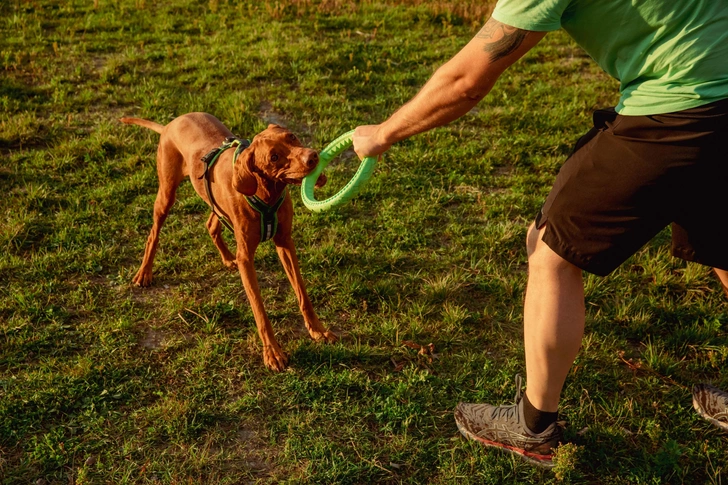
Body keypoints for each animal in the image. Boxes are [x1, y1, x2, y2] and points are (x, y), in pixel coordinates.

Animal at [121, 112, 336, 370]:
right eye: (274, 157)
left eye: (291, 137)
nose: (312, 157)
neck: (266, 192)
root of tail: (171, 123)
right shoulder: (246, 259)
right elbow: (259, 310)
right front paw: (272, 353)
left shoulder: (285, 243)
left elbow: (302, 294)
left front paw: (318, 331)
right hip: (166, 194)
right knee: (154, 233)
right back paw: (144, 273)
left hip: (216, 204)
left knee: (211, 224)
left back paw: (226, 258)